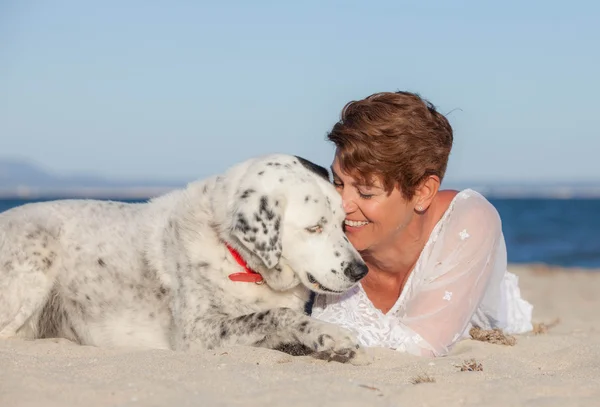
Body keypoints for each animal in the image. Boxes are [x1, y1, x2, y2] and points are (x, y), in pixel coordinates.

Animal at [0, 155, 370, 364]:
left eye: (343, 223)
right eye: (314, 227)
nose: (360, 270)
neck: (236, 258)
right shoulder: (198, 333)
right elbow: (276, 314)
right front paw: (331, 335)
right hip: (37, 252)